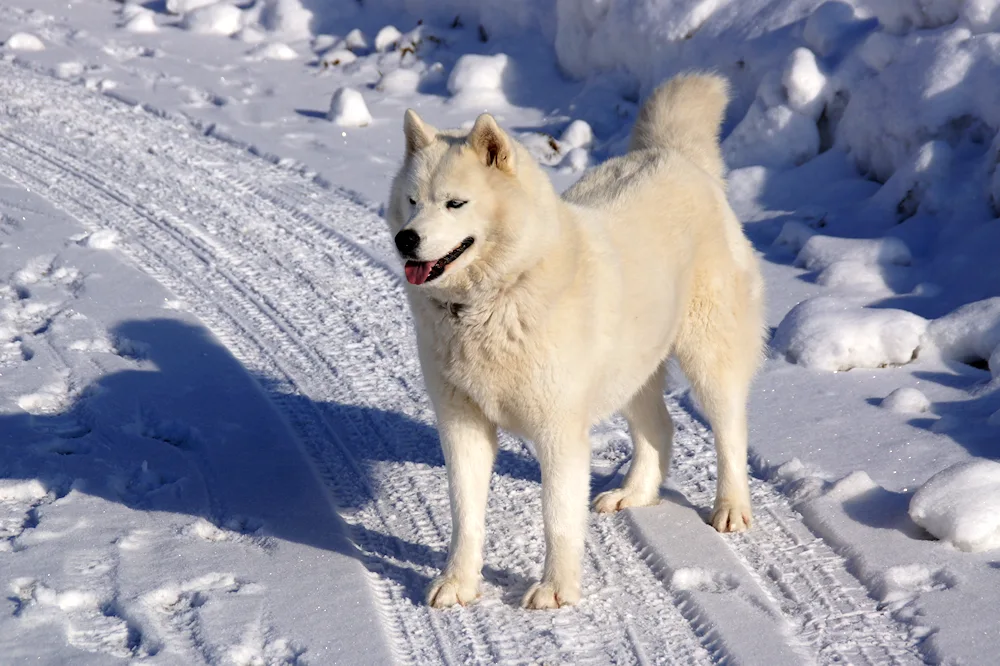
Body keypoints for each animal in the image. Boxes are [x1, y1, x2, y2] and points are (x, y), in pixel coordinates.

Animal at [386, 72, 760, 608]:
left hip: (709, 357)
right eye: (413, 201)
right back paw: (635, 494)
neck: (495, 299)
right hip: (632, 370)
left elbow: (558, 518)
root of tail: (674, 155)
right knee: (660, 428)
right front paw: (458, 583)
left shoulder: (559, 432)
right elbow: (465, 516)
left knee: (730, 433)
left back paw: (730, 508)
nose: (406, 239)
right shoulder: (462, 426)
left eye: (455, 203)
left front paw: (555, 590)